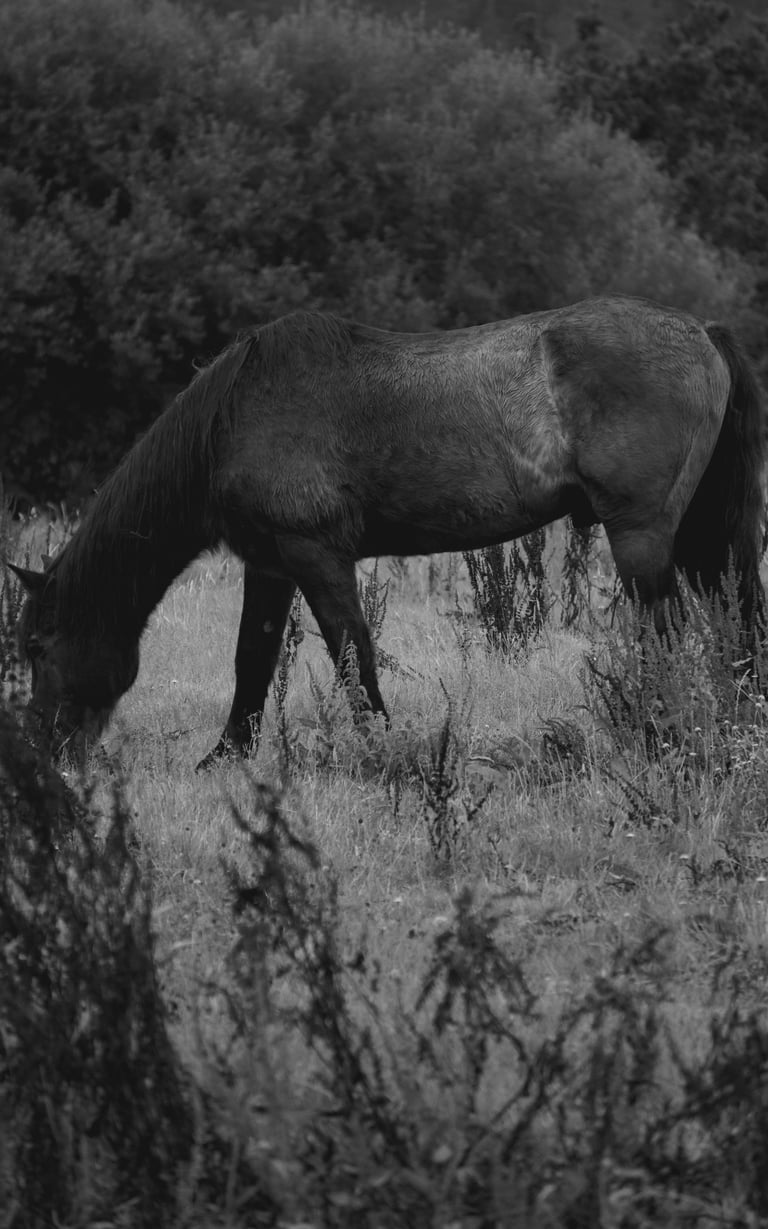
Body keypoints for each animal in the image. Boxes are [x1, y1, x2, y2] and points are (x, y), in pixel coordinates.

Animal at [10, 295, 766, 768]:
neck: (237, 414)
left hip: (642, 536)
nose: (45, 753)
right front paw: (223, 758)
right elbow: (252, 661)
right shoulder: (270, 563)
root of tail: (704, 332)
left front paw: (384, 756)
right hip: (699, 539)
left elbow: (353, 655)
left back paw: (662, 738)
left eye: (38, 648)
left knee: (668, 635)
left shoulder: (316, 555)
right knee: (732, 625)